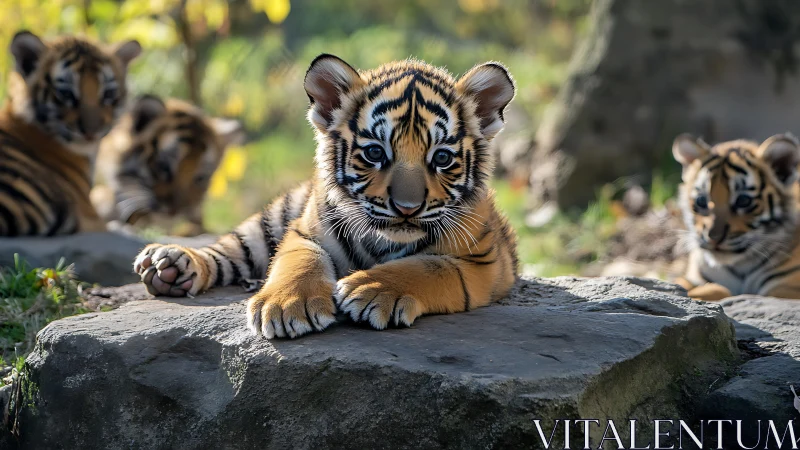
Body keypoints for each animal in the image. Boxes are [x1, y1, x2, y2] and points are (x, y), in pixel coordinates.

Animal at [133, 55, 519, 338]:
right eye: (375, 153)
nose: (407, 209)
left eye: (441, 158)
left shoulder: (482, 261)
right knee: (228, 248)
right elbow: (300, 260)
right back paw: (171, 264)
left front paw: (371, 289)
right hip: (273, 216)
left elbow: (425, 267)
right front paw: (286, 305)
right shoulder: (304, 231)